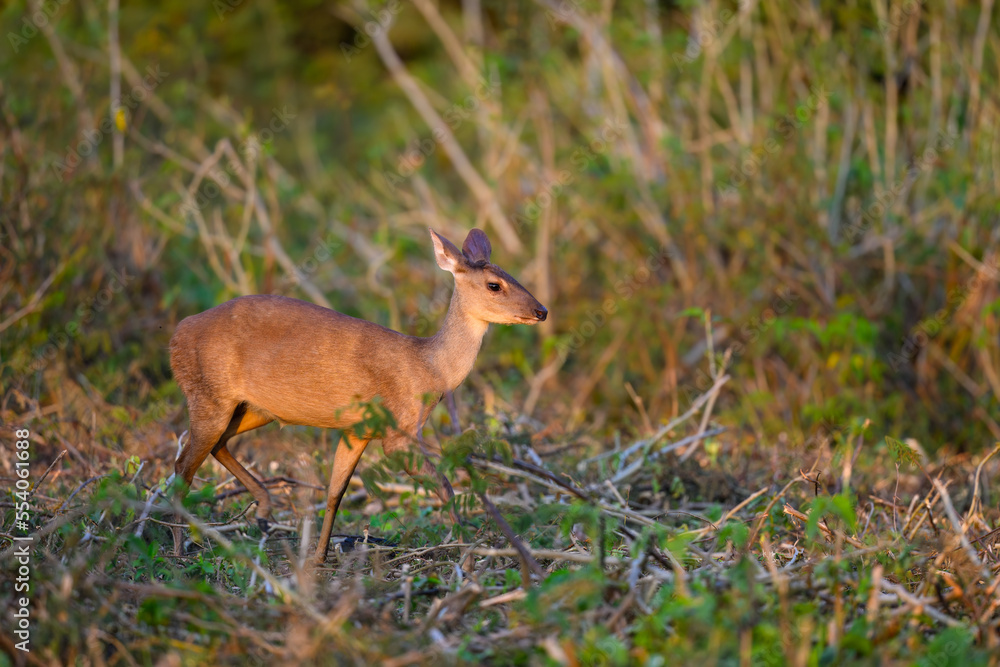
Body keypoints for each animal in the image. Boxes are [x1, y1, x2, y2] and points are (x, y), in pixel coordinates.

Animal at [170, 228, 548, 564]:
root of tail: (176, 334)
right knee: (183, 466)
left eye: (510, 275)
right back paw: (179, 548)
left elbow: (335, 493)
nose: (541, 310)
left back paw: (263, 509)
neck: (429, 369)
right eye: (494, 285)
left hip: (252, 408)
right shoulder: (398, 432)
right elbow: (445, 486)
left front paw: (319, 558)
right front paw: (467, 559)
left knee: (214, 447)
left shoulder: (358, 429)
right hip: (209, 395)